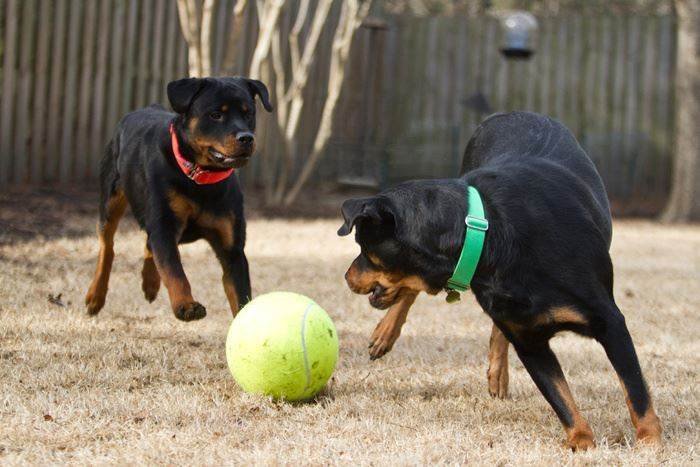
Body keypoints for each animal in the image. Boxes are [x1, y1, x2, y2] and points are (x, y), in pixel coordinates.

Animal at [86, 77, 272, 322]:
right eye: (215, 114)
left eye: (248, 113)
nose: (246, 138)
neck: (200, 178)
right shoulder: (164, 225)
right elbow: (174, 269)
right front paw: (186, 305)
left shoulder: (232, 249)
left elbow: (241, 295)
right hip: (111, 199)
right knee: (107, 247)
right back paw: (95, 296)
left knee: (148, 242)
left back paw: (150, 283)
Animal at [340, 111, 660, 452]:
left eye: (364, 248)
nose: (347, 277)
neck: (488, 233)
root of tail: (512, 113)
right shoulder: (528, 341)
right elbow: (560, 399)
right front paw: (581, 442)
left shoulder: (609, 322)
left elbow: (635, 389)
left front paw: (649, 441)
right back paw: (386, 333)